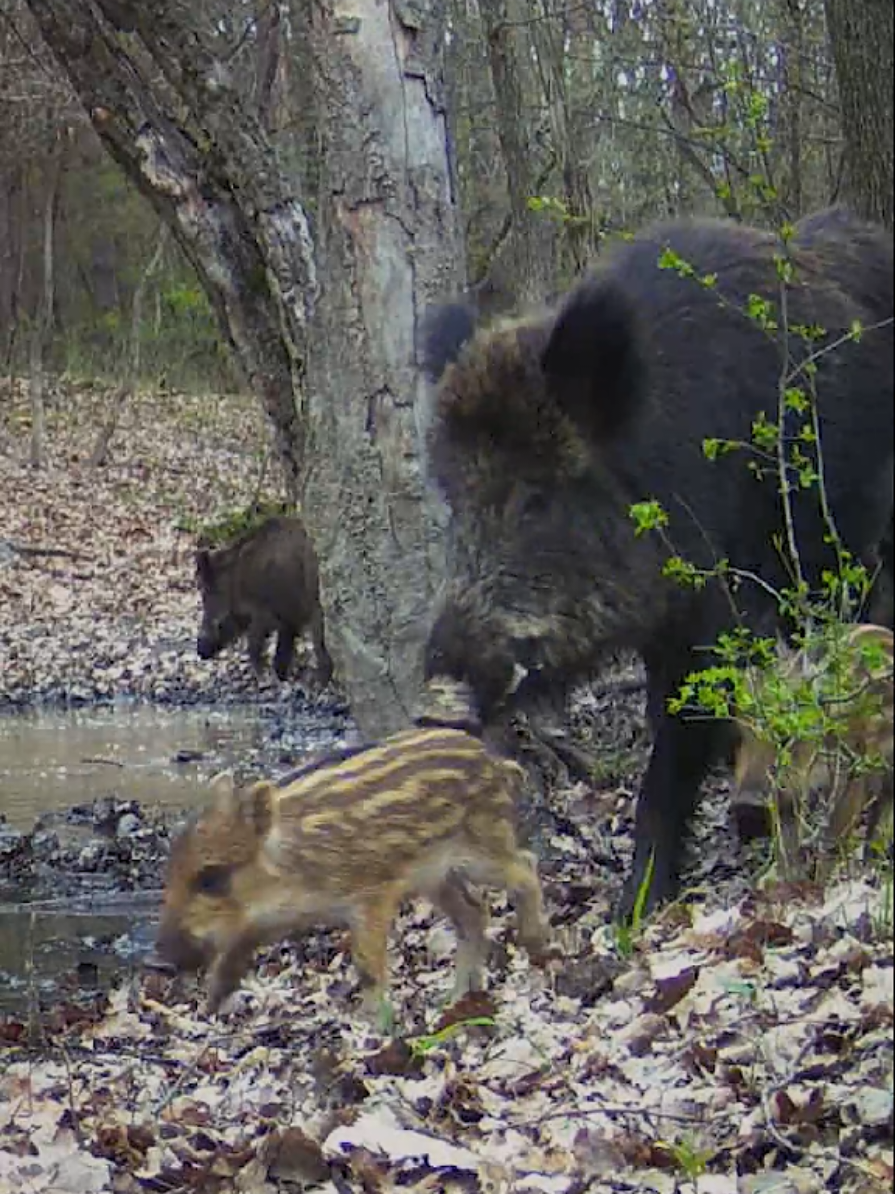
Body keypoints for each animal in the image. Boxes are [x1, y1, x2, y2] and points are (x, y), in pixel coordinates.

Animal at [152, 726, 554, 1024]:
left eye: (211, 879)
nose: (161, 961)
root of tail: (498, 763)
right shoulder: (260, 923)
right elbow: (230, 961)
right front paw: (208, 1009)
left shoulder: (372, 894)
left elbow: (367, 966)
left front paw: (375, 1027)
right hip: (437, 876)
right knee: (474, 911)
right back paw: (454, 1000)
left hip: (483, 847)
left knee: (526, 865)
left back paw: (536, 943)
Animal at [195, 515, 333, 687]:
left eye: (206, 594)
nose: (200, 651)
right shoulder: (286, 618)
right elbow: (282, 647)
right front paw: (280, 676)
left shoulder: (265, 613)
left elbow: (254, 644)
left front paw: (264, 678)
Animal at [733, 623, 894, 878]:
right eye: (740, 735)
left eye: (785, 735)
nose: (745, 806)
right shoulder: (788, 799)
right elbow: (786, 848)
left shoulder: (851, 777)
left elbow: (832, 843)